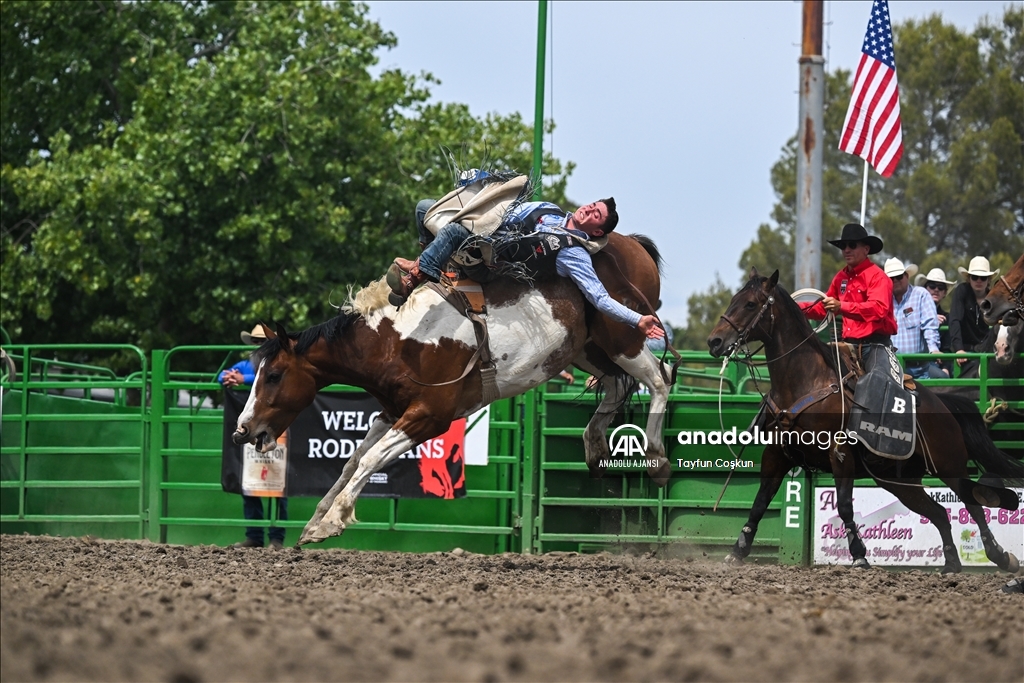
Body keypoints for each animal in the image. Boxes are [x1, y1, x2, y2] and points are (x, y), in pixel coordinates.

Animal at [235, 233, 675, 544]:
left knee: (660, 379)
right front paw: (316, 521)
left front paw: (333, 521)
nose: (243, 430)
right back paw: (595, 446)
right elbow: (352, 461)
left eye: (273, 375)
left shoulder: (429, 417)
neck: (395, 340)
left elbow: (370, 460)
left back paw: (656, 459)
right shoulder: (392, 413)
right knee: (617, 387)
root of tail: (631, 242)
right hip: (589, 350)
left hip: (622, 338)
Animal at [708, 270, 1019, 573]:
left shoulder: (840, 453)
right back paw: (952, 564)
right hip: (900, 481)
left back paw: (1001, 556)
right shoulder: (776, 455)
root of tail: (944, 404)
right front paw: (737, 550)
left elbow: (845, 505)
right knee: (940, 513)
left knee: (973, 504)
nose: (714, 341)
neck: (805, 381)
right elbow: (760, 502)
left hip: (950, 467)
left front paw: (859, 556)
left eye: (750, 304)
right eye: (733, 300)